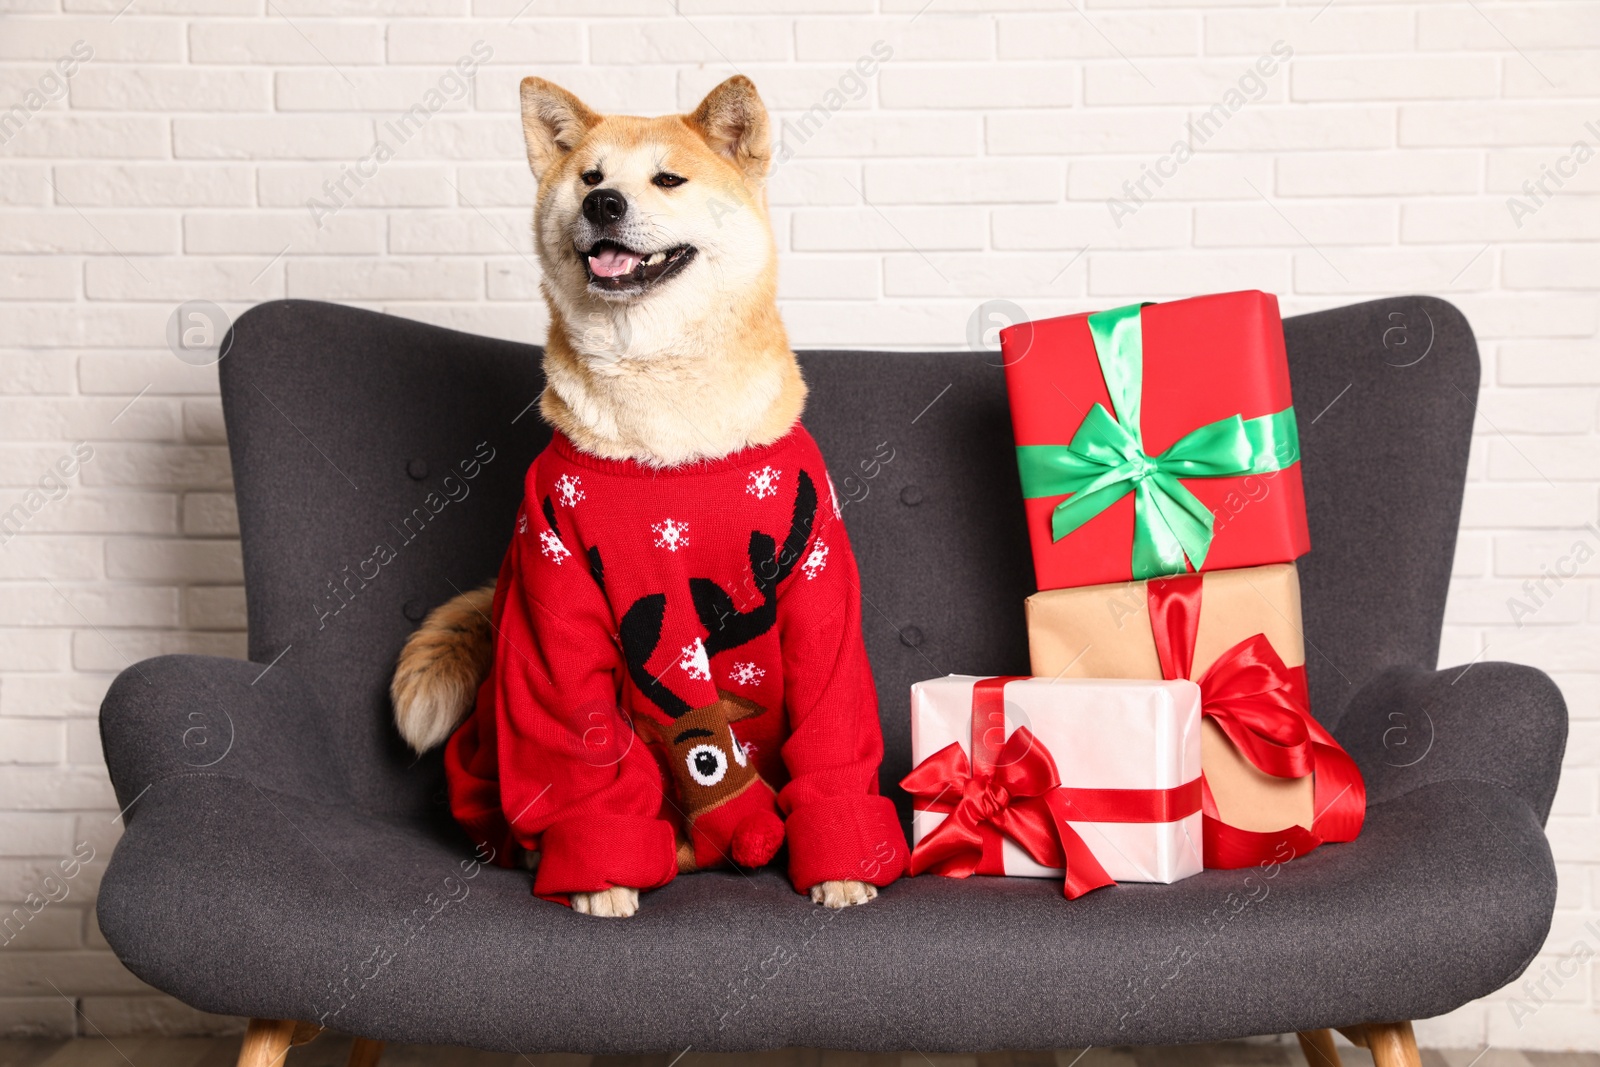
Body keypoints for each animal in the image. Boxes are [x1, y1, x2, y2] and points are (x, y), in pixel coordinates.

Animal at [387, 79, 908, 921]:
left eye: (668, 179)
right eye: (590, 178)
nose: (603, 205)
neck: (669, 422)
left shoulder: (815, 590)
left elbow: (831, 734)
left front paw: (841, 866)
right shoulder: (555, 594)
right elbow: (585, 748)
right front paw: (603, 873)